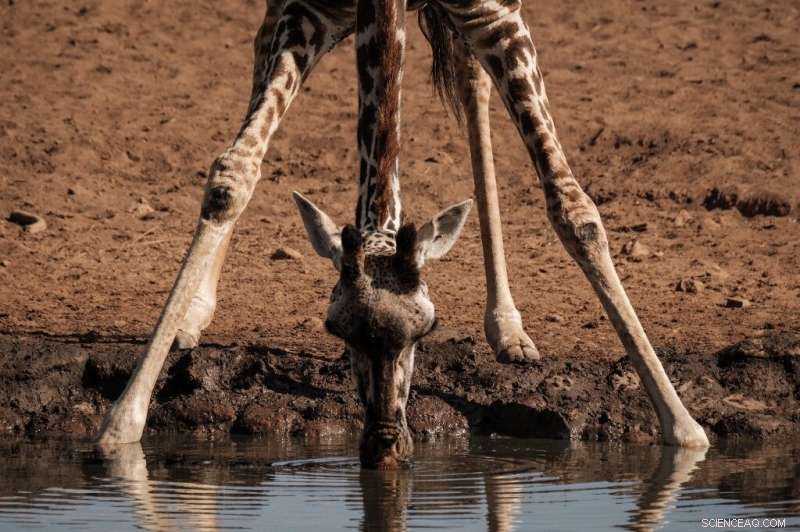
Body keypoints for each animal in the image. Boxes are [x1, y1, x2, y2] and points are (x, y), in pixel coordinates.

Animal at [97, 0, 710, 462]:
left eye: (427, 330)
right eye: (334, 330)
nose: (384, 446)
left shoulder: (496, 13)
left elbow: (574, 208)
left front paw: (683, 428)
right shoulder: (302, 10)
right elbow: (233, 175)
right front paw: (123, 423)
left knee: (473, 85)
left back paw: (507, 327)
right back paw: (193, 314)